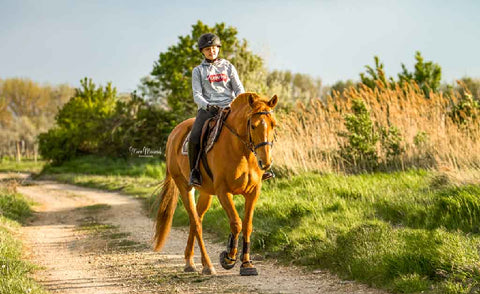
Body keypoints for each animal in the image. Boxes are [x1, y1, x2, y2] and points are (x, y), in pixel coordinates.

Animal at [154, 92, 278, 276]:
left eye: (273, 125)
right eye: (253, 126)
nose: (266, 162)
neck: (241, 151)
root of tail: (174, 134)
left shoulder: (253, 192)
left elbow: (247, 225)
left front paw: (247, 264)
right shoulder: (223, 192)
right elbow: (236, 223)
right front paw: (228, 258)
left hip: (206, 193)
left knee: (196, 219)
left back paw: (190, 262)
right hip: (185, 187)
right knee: (196, 223)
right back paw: (207, 265)